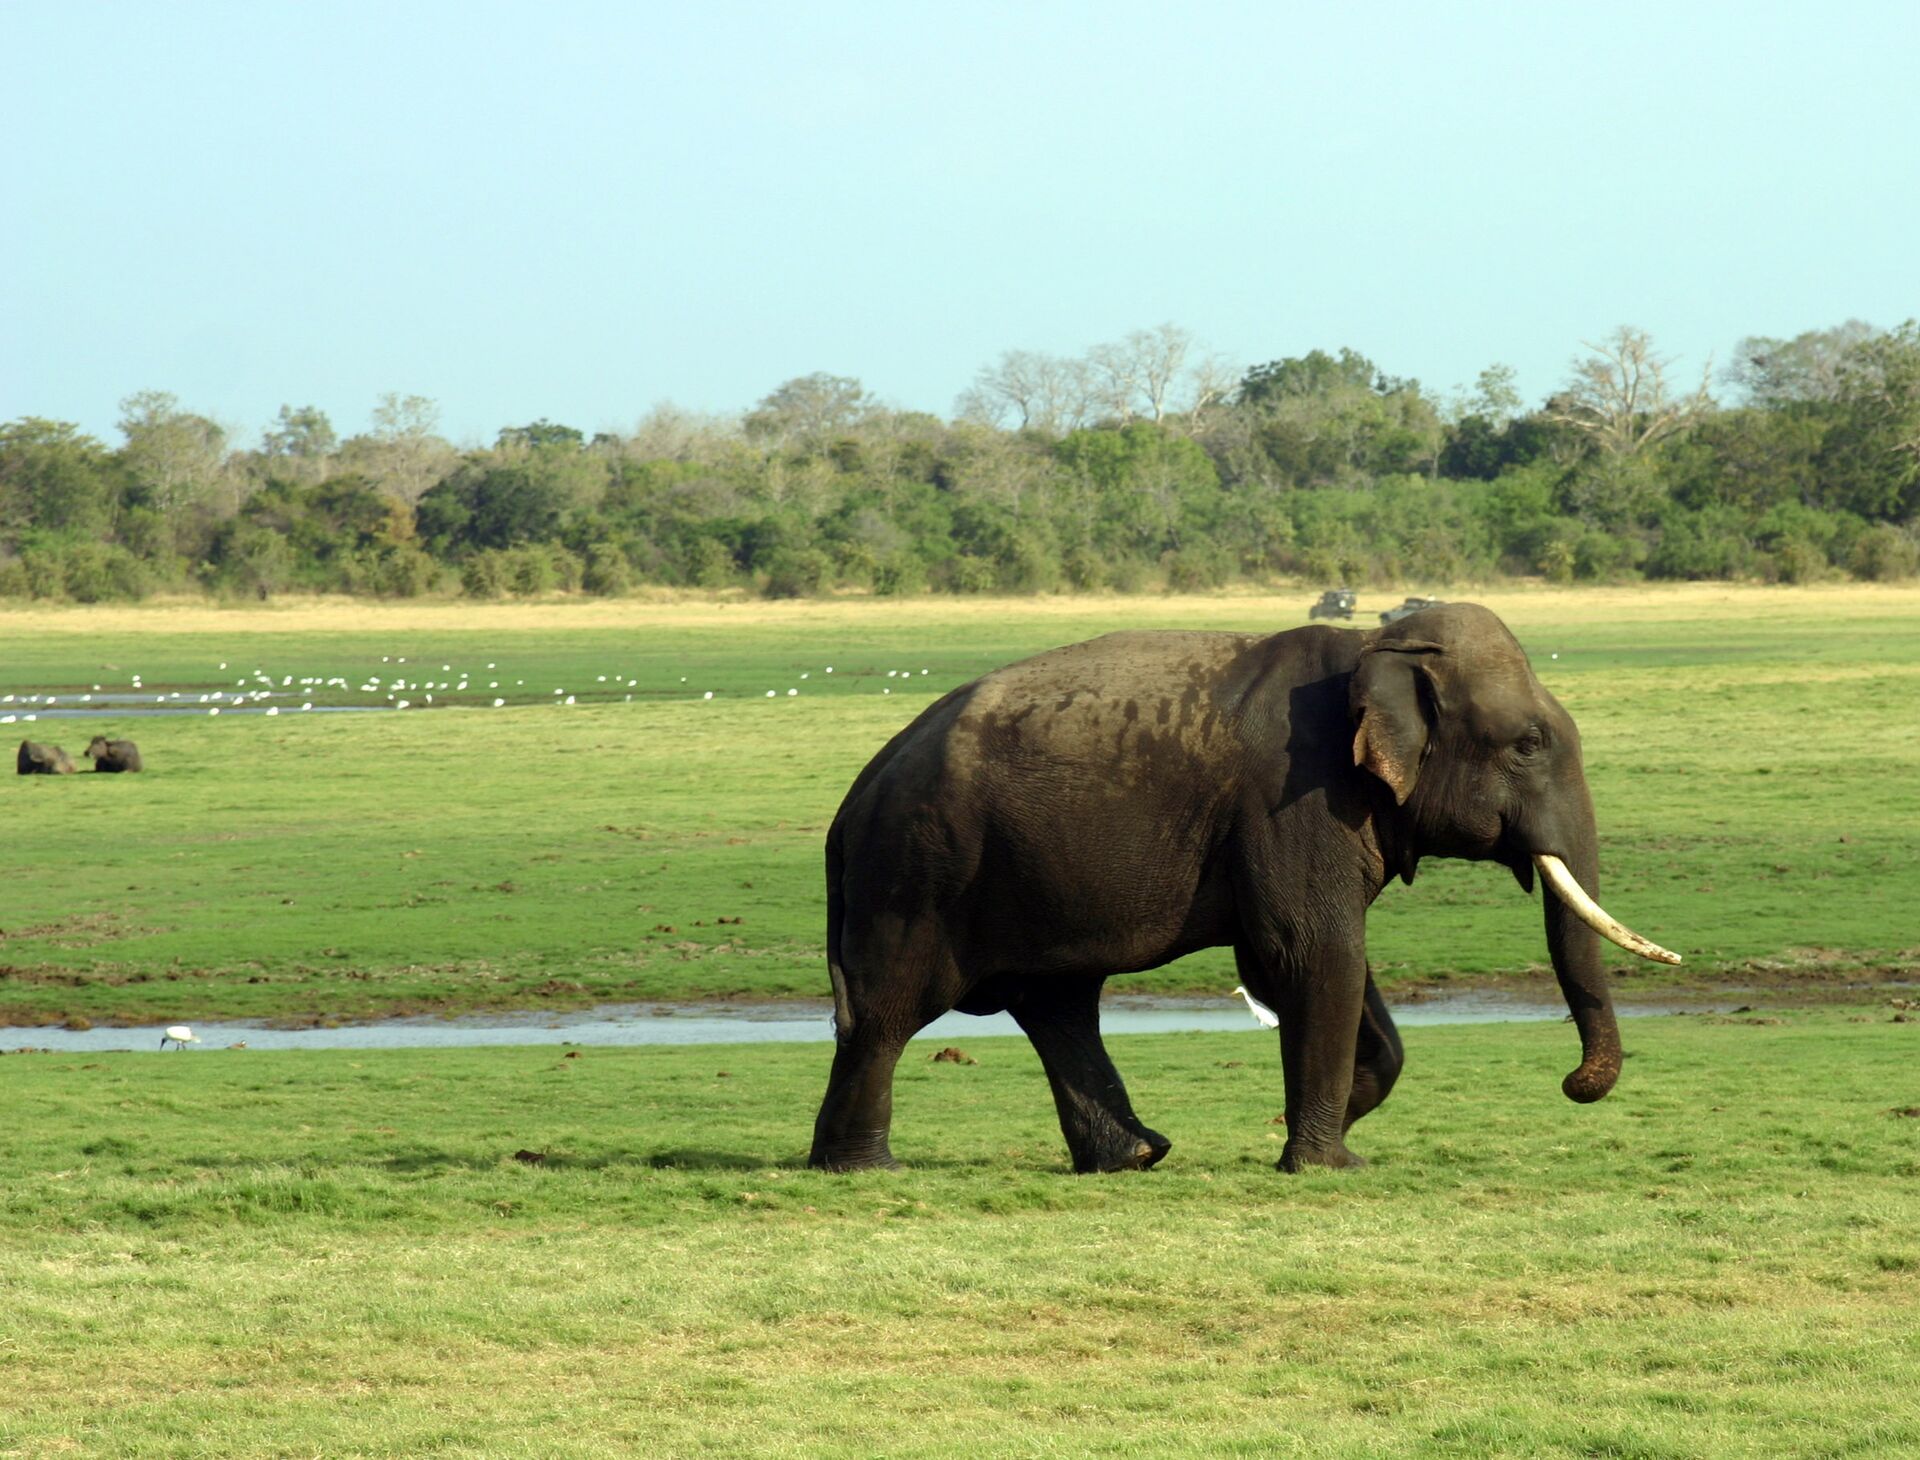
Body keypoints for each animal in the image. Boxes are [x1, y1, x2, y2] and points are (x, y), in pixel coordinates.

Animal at [809, 603, 1678, 1175]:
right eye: (1528, 744)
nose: (1572, 1082)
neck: (1373, 648)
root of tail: (852, 801)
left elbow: (1321, 965)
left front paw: (1335, 1119)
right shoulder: (1294, 799)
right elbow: (1311, 953)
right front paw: (1329, 1163)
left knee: (1056, 1004)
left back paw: (1136, 1156)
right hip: (920, 872)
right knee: (891, 1011)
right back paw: (864, 1168)